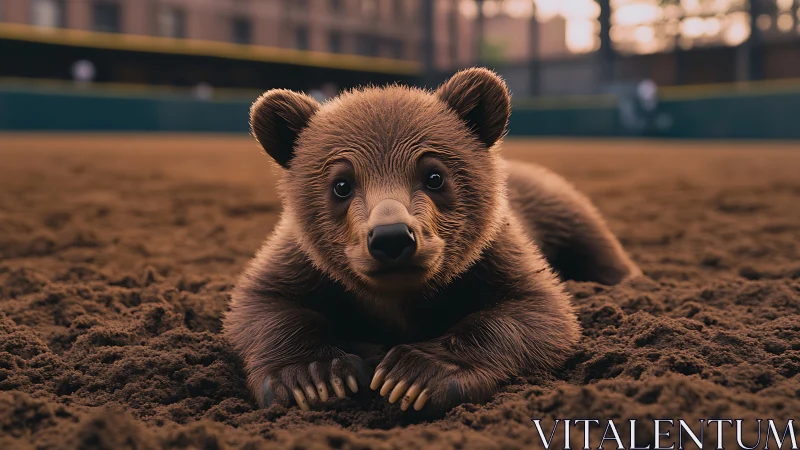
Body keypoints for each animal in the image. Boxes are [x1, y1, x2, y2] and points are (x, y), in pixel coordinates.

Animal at [223, 68, 640, 414]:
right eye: (341, 184)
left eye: (434, 176)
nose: (392, 237)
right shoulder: (299, 261)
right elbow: (265, 306)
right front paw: (314, 376)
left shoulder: (496, 254)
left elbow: (536, 312)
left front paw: (417, 373)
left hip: (560, 206)